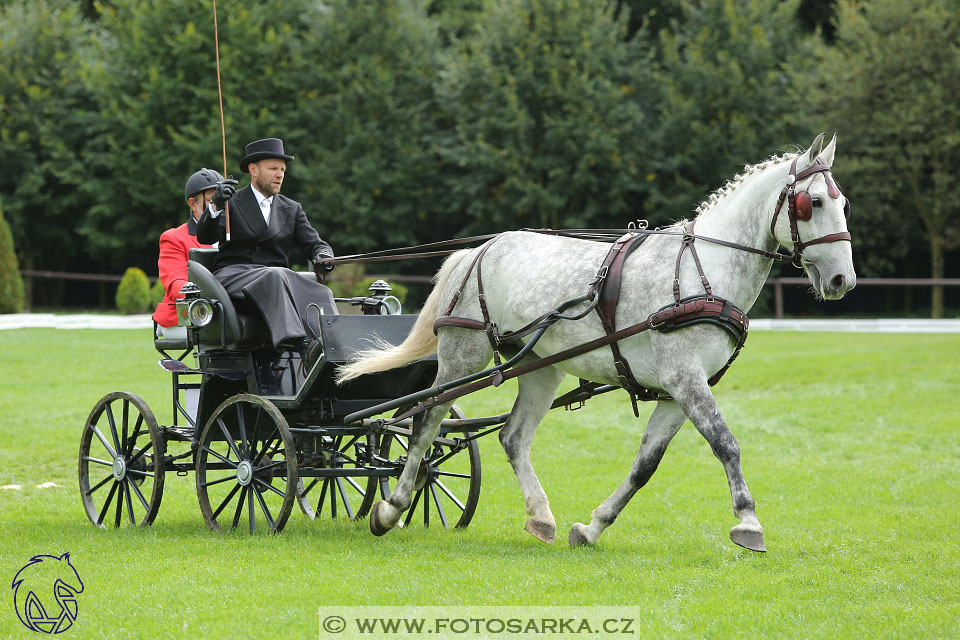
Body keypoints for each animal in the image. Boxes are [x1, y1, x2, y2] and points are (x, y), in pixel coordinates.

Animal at [338, 134, 856, 552]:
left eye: (843, 203)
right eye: (812, 203)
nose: (842, 280)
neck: (702, 270)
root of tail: (479, 250)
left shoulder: (678, 390)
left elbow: (646, 465)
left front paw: (591, 528)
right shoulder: (684, 379)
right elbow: (725, 443)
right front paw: (749, 523)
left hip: (542, 367)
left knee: (512, 437)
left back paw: (541, 517)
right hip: (462, 356)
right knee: (426, 421)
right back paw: (391, 508)